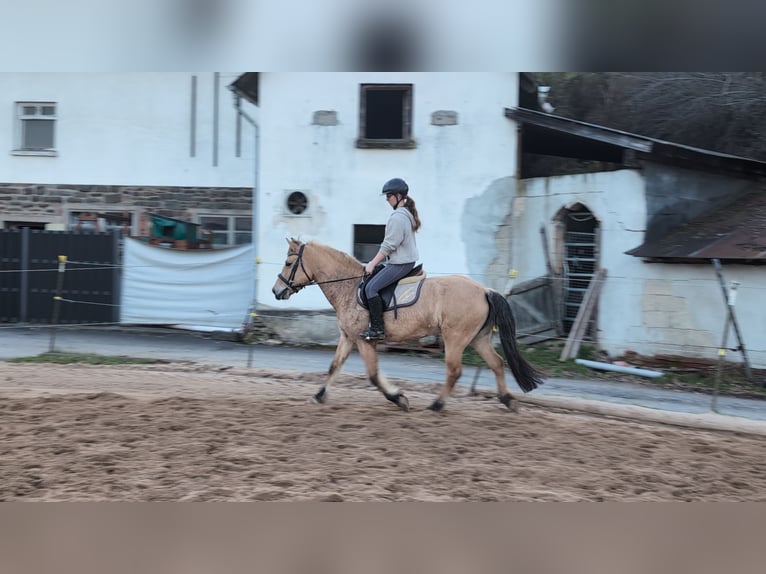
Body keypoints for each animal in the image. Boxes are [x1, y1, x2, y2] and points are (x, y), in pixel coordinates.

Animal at [271, 238, 544, 412]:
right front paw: (318, 396)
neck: (349, 286)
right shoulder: (348, 337)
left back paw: (436, 405)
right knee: (497, 363)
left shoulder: (363, 339)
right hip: (477, 338)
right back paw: (508, 401)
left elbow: (373, 375)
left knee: (454, 371)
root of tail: (485, 290)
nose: (276, 291)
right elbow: (333, 367)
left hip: (455, 338)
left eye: (288, 263)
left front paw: (398, 398)